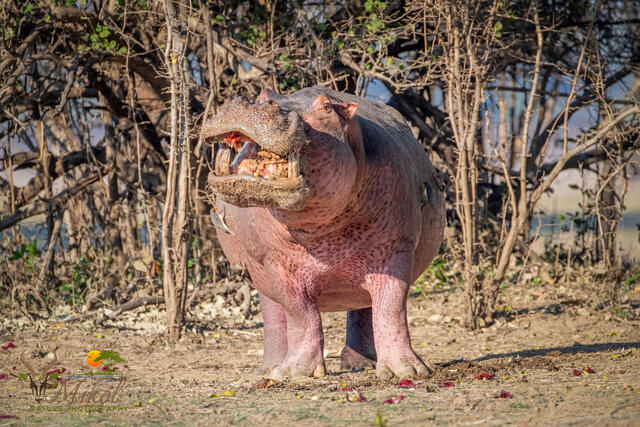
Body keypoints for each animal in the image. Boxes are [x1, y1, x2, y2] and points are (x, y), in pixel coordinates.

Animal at [203, 86, 445, 380]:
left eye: (327, 107)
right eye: (261, 96)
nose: (250, 104)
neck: (321, 231)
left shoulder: (396, 249)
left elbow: (391, 307)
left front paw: (408, 371)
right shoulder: (277, 263)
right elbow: (300, 314)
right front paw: (293, 374)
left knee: (364, 311)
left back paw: (360, 365)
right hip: (259, 275)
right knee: (273, 317)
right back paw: (269, 371)